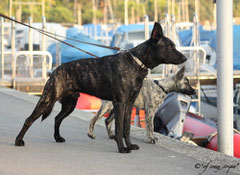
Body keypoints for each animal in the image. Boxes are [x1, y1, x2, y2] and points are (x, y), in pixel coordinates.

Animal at [15, 22, 188, 153]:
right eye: (170, 46)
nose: (185, 57)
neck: (136, 63)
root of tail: (55, 70)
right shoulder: (120, 104)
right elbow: (118, 129)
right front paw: (122, 149)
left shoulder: (129, 104)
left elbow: (126, 129)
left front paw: (130, 145)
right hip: (47, 100)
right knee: (29, 120)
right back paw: (18, 140)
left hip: (70, 104)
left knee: (57, 118)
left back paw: (57, 138)